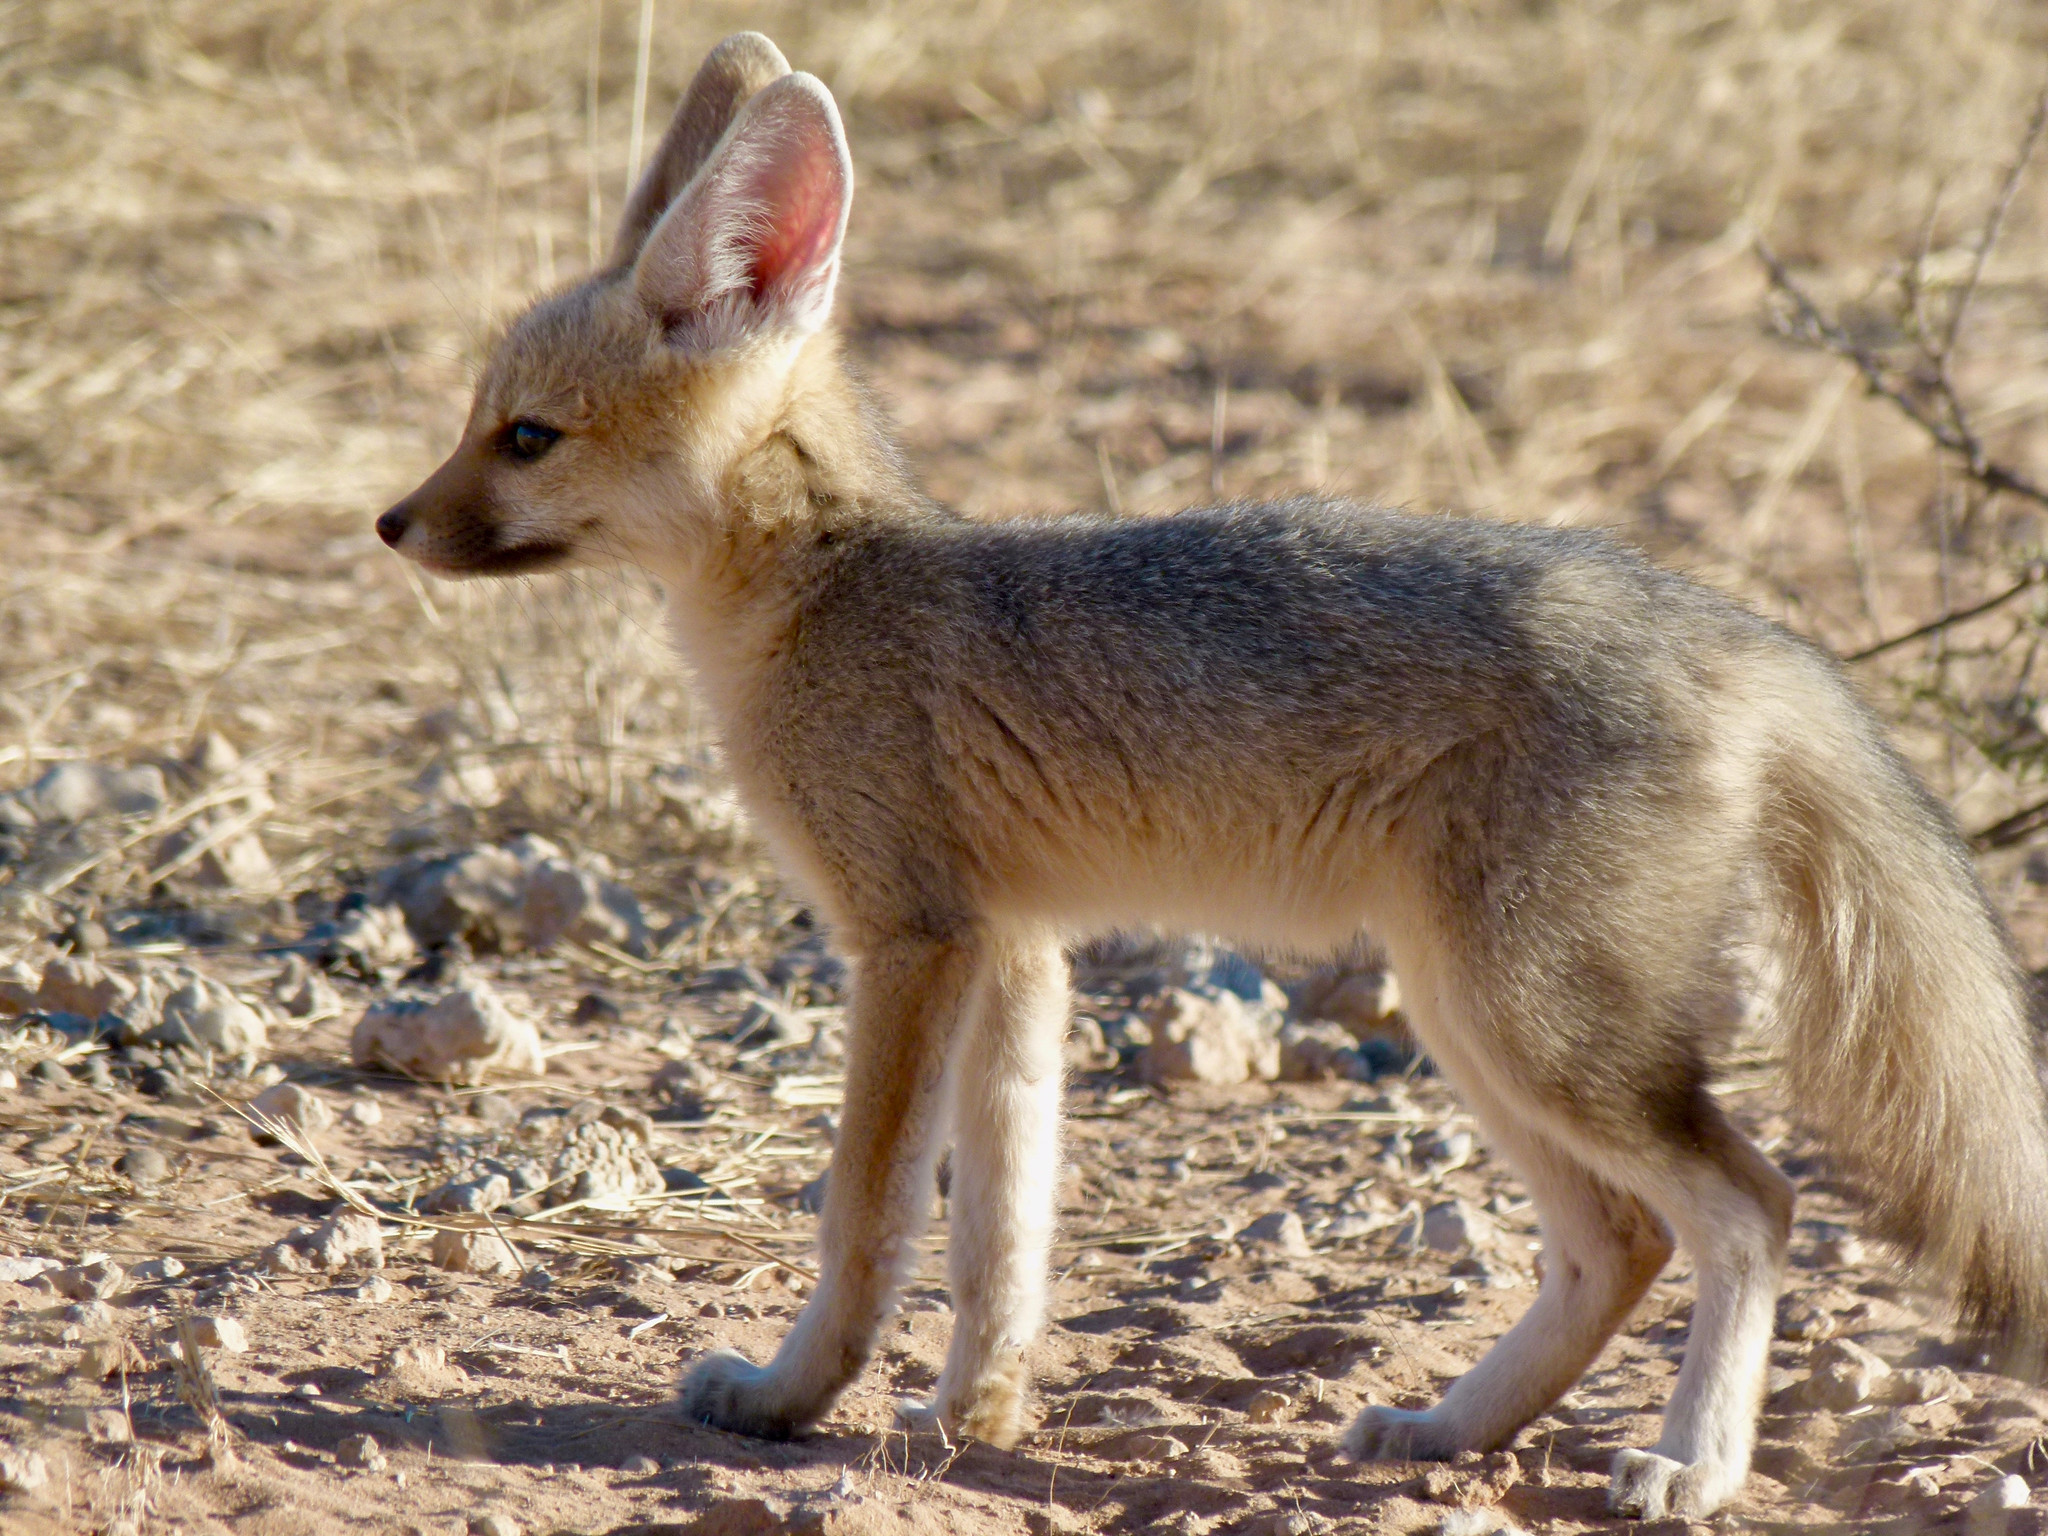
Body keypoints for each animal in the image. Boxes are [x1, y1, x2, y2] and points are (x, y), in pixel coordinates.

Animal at [375, 31, 2048, 1520]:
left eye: (525, 438)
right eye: (475, 422)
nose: (392, 525)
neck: (832, 580)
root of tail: (1745, 632)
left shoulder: (909, 941)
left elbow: (867, 1219)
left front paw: (796, 1399)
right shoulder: (1018, 950)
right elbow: (1001, 1233)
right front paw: (972, 1414)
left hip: (1535, 1028)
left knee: (1752, 1208)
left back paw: (1691, 1468)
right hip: (1477, 1019)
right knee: (1620, 1242)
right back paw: (1451, 1429)